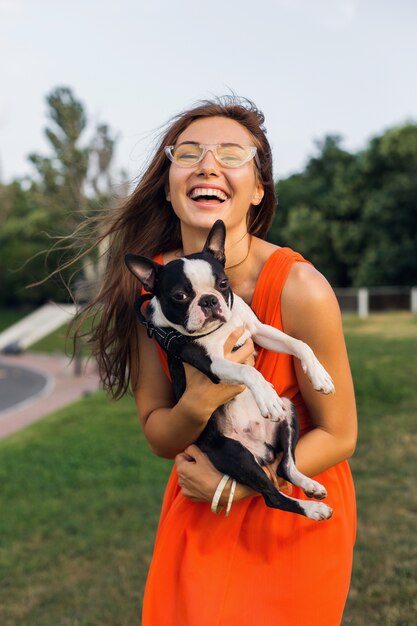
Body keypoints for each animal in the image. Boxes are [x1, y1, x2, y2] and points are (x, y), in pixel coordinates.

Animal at [125, 217, 334, 520]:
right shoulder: (212, 363)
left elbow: (298, 343)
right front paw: (265, 396)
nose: (209, 300)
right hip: (233, 453)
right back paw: (312, 509)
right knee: (272, 495)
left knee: (285, 466)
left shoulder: (257, 330)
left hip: (289, 410)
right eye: (180, 295)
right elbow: (249, 372)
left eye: (223, 284)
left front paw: (319, 375)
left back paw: (310, 486)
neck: (219, 329)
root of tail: (261, 451)